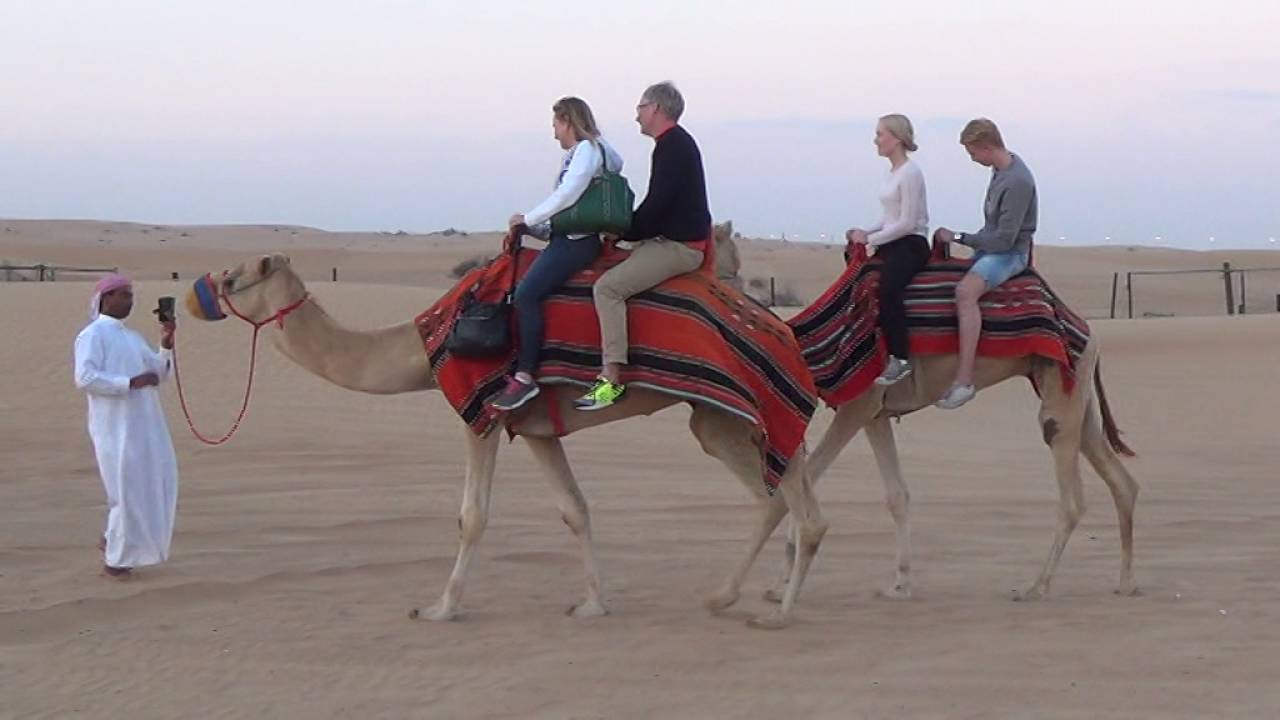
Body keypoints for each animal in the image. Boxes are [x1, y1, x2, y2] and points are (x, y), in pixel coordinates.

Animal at [186, 251, 827, 629]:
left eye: (234, 278)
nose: (192, 296)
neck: (424, 344)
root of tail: (777, 327)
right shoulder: (539, 428)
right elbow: (575, 509)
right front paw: (592, 602)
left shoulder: (483, 413)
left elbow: (472, 516)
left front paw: (439, 606)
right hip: (725, 417)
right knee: (788, 488)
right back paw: (758, 592)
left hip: (726, 415)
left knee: (782, 496)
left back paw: (764, 605)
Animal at [712, 231, 1140, 603]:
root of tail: (1085, 328)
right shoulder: (875, 413)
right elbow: (896, 495)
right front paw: (900, 584)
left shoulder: (857, 405)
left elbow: (800, 484)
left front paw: (775, 587)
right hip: (1074, 391)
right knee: (1121, 480)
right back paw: (1125, 582)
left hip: (1059, 388)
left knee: (1071, 494)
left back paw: (1037, 587)